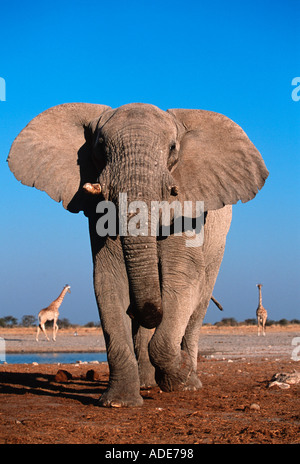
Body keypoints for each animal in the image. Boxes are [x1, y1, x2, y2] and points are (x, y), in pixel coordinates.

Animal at [8, 102, 268, 406]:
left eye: (172, 148)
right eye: (100, 146)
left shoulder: (188, 209)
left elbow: (181, 277)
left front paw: (178, 376)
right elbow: (108, 278)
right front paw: (119, 402)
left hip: (219, 246)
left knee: (198, 304)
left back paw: (190, 382)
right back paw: (148, 383)